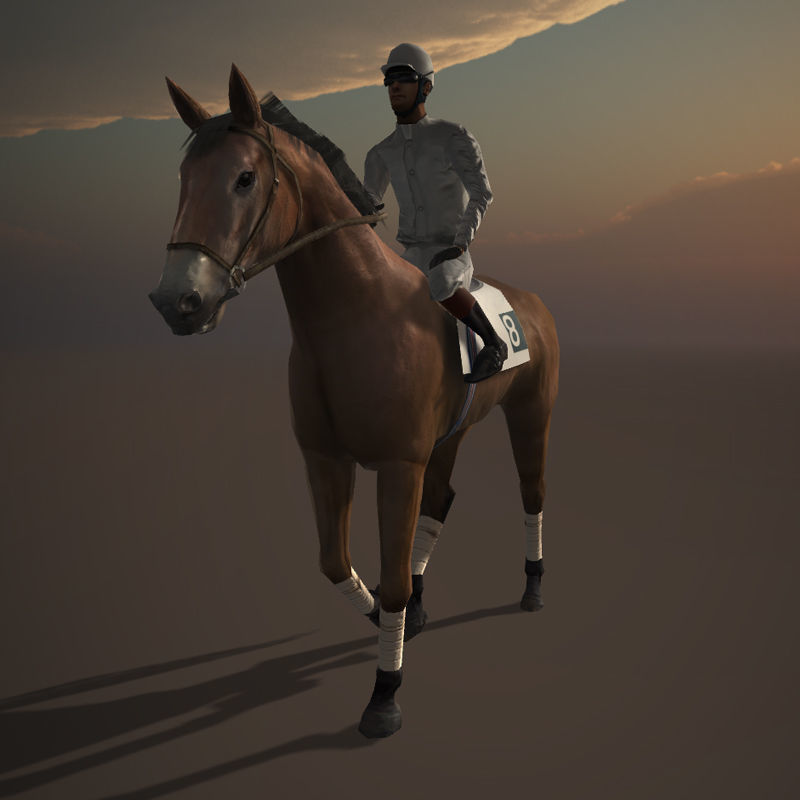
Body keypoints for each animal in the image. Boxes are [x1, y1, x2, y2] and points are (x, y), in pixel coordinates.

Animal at [149, 65, 559, 738]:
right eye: (183, 178)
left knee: (533, 494)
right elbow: (335, 563)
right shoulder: (325, 459)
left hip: (531, 414)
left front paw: (384, 695)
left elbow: (389, 580)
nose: (176, 301)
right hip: (451, 435)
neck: (356, 318)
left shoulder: (398, 465)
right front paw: (389, 621)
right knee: (442, 501)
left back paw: (532, 589)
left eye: (244, 178)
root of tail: (535, 303)